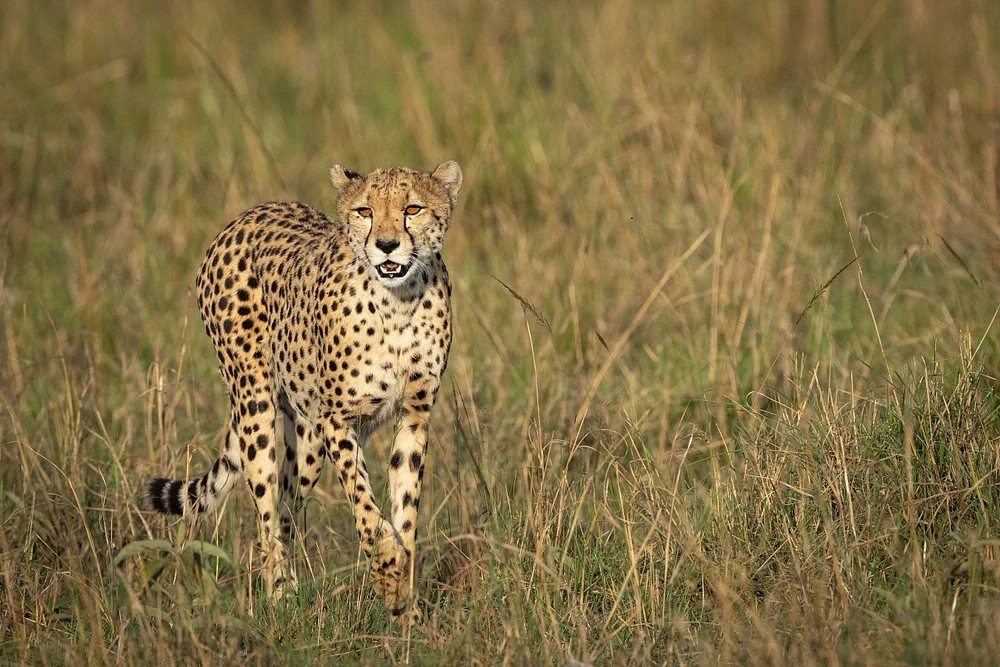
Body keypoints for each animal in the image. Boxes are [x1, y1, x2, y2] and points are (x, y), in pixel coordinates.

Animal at [144, 161, 462, 621]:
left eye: (413, 208)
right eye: (365, 211)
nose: (386, 245)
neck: (398, 303)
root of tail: (251, 213)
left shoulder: (414, 415)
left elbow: (405, 512)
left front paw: (406, 608)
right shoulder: (337, 421)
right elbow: (365, 506)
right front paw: (388, 570)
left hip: (307, 437)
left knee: (288, 509)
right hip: (256, 406)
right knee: (265, 512)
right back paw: (279, 597)